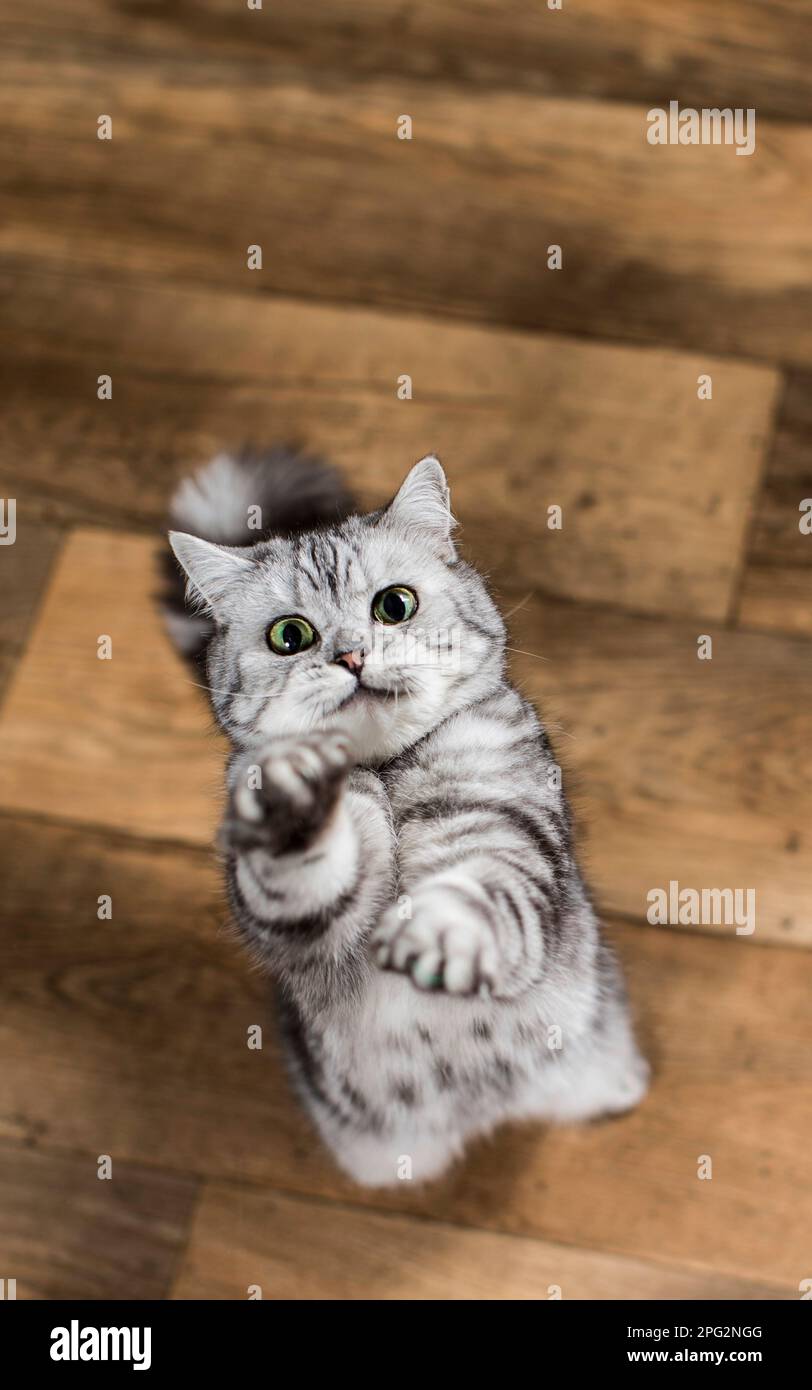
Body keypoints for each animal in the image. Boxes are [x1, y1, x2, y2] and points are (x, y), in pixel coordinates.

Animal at [163, 450, 647, 1189]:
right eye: (289, 636)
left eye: (394, 605)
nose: (351, 656)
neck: (387, 771)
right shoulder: (300, 917)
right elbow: (303, 870)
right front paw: (297, 796)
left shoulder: (509, 829)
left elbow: (480, 886)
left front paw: (436, 933)